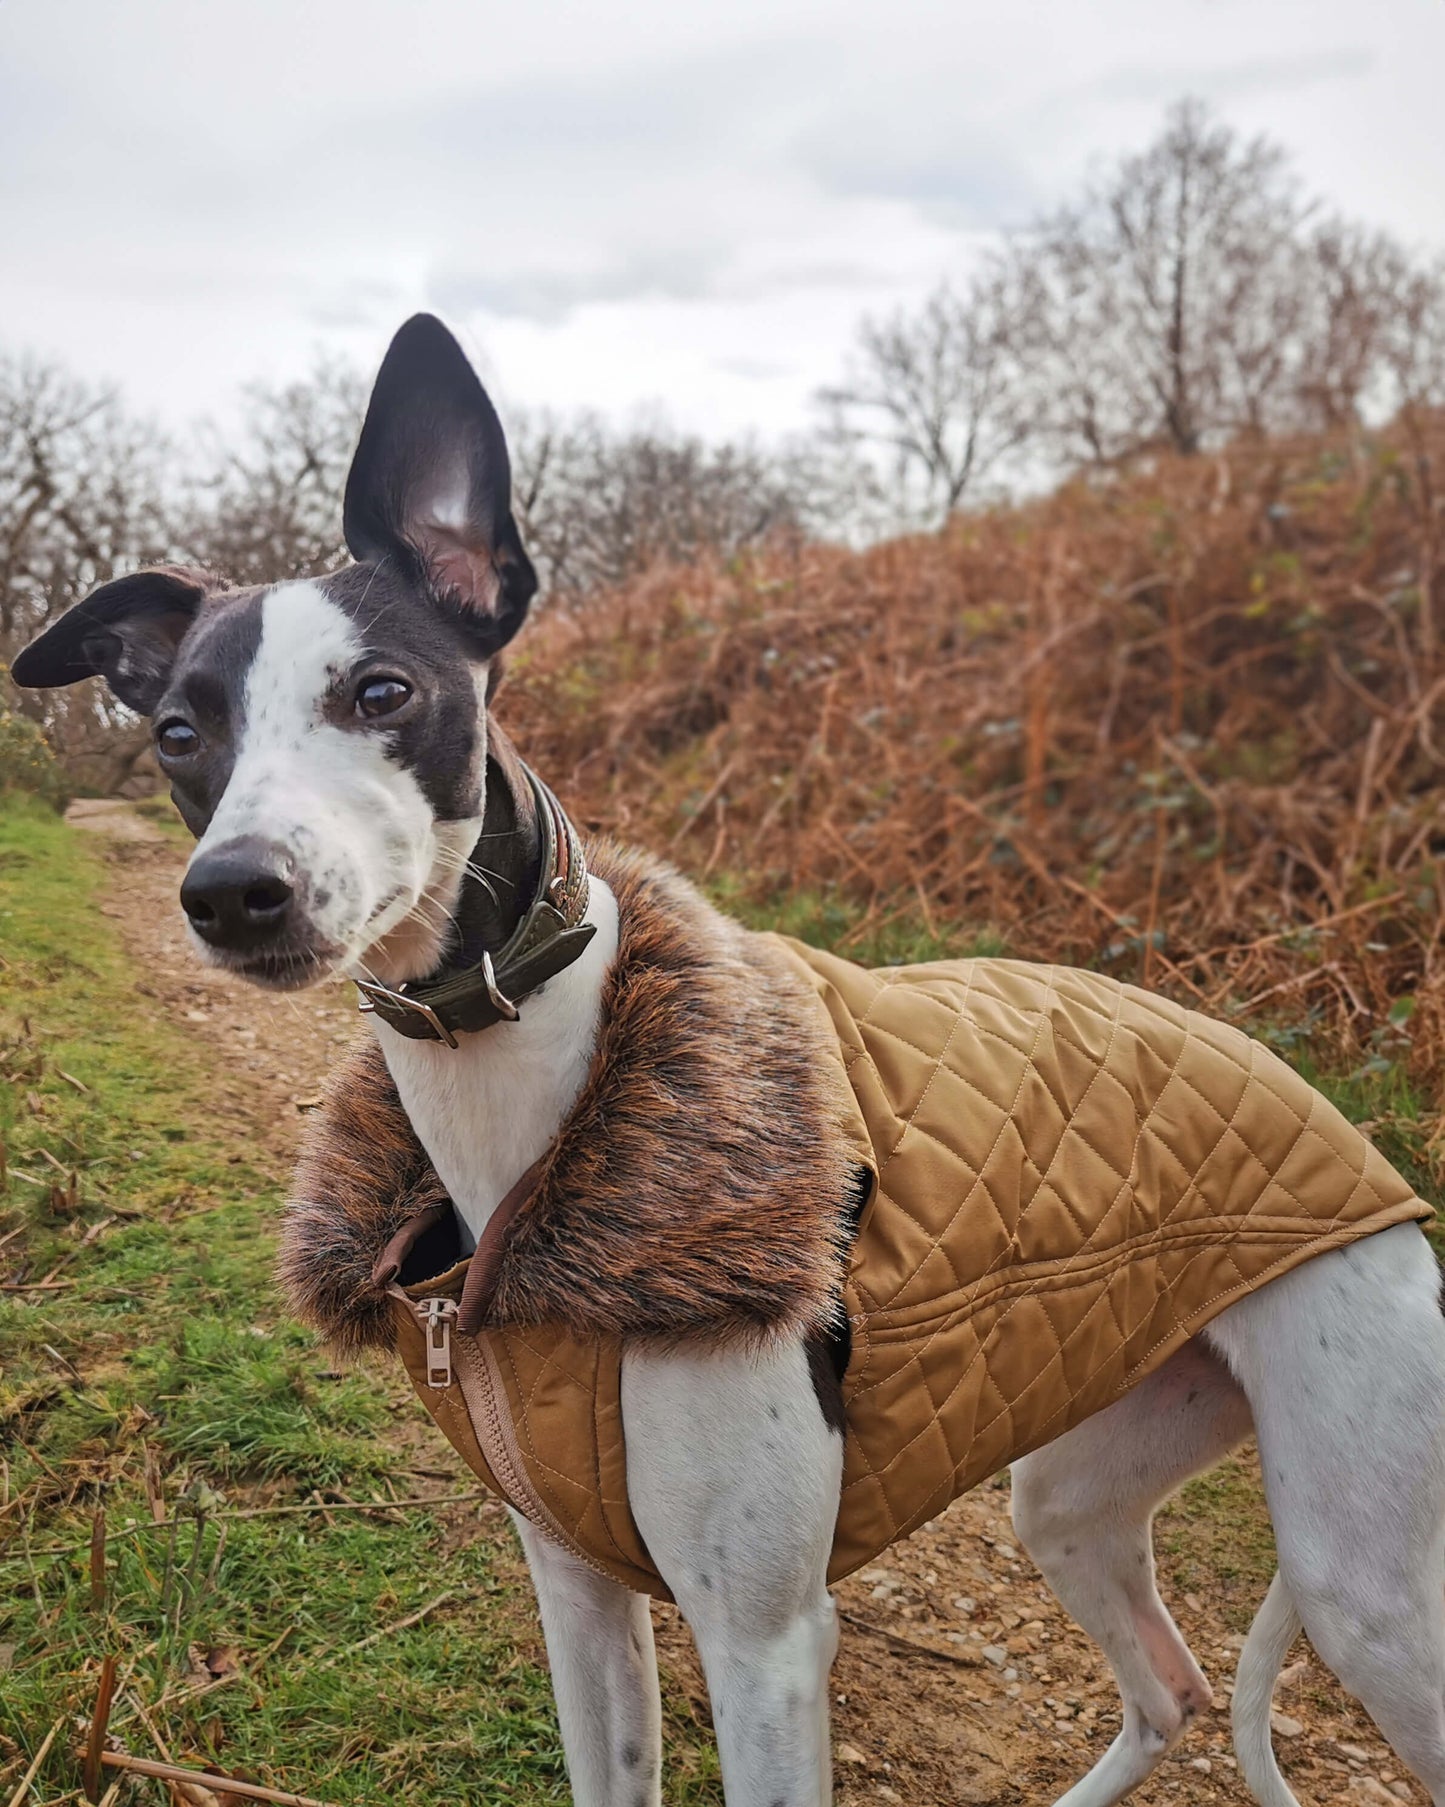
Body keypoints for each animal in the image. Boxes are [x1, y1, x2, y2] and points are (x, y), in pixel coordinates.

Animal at [16, 318, 1445, 1799]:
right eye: (180, 733)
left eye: (381, 690)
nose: (234, 893)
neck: (527, 1103)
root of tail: (1326, 1115)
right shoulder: (580, 1591)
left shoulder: (760, 1637)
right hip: (1070, 1487)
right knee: (1167, 1683)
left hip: (1359, 1578)